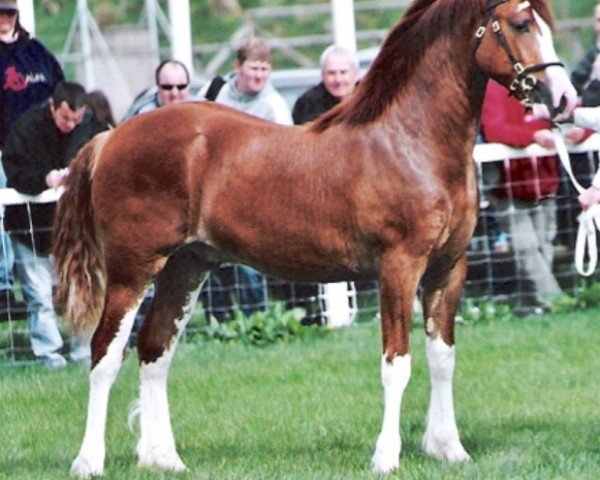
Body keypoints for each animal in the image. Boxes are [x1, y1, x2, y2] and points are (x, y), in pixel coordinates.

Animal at [55, 0, 576, 476]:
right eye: (520, 23)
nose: (565, 99)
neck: (411, 141)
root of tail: (109, 139)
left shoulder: (449, 269)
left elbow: (442, 357)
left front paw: (449, 448)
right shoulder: (399, 267)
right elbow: (397, 363)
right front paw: (386, 458)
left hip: (186, 266)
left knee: (154, 349)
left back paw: (163, 458)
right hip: (132, 270)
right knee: (104, 354)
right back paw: (88, 461)